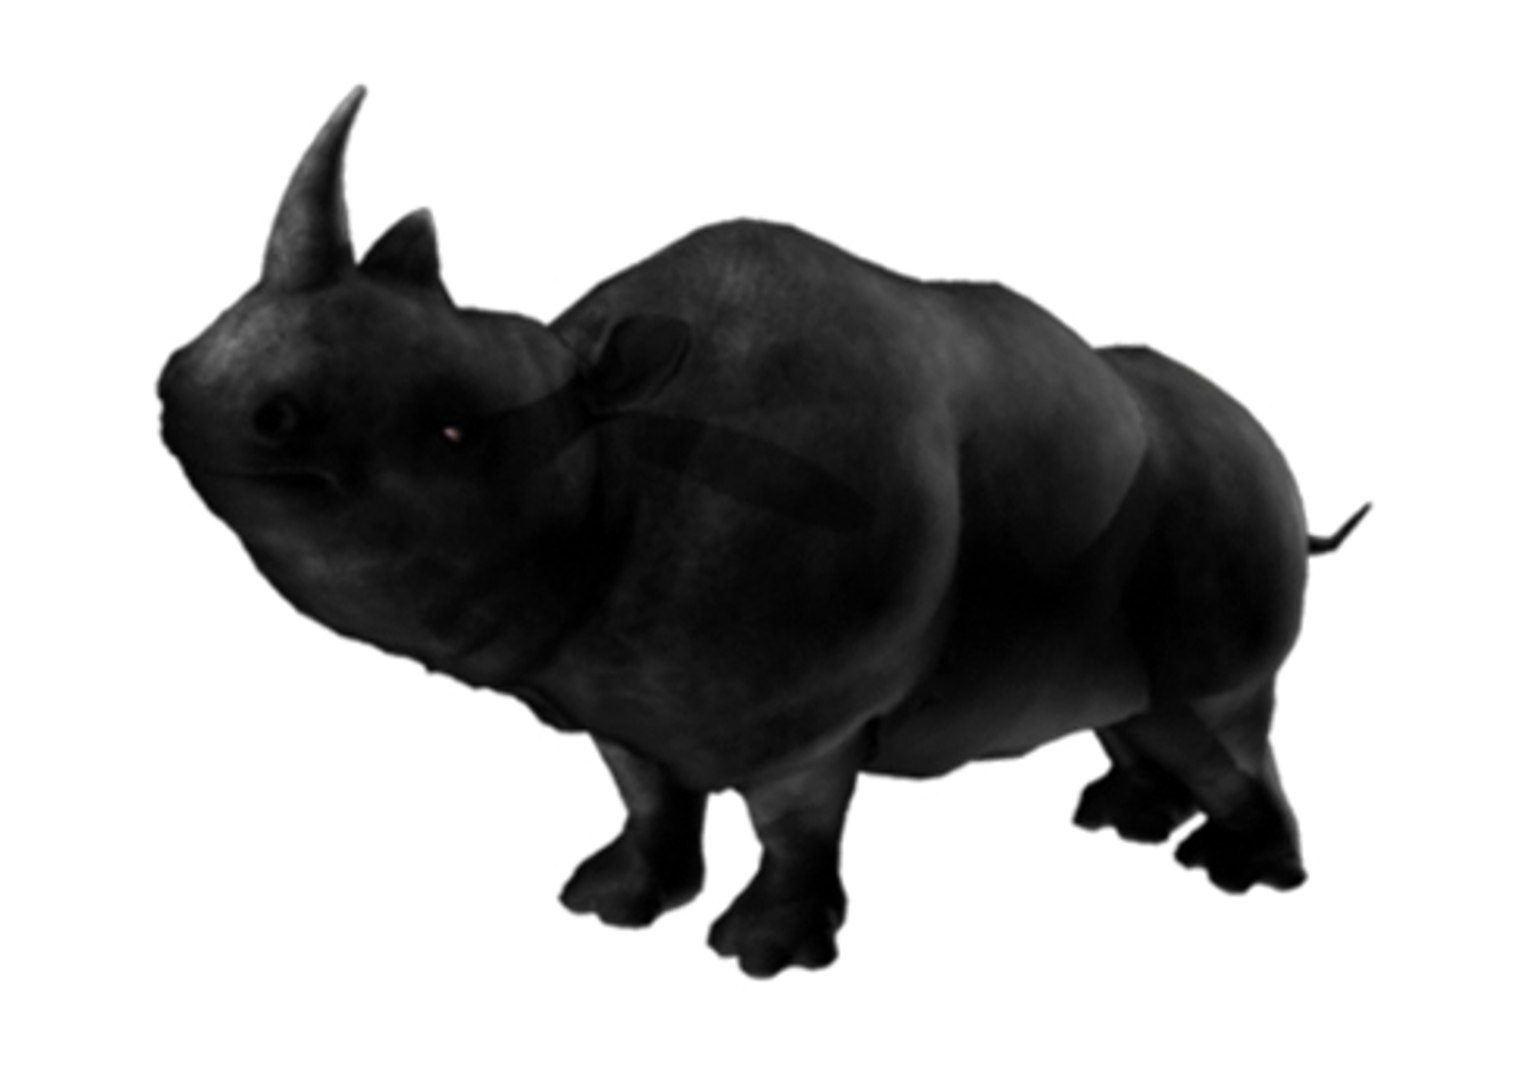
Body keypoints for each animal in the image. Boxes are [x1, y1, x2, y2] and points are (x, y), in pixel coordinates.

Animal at [158, 87, 1369, 977]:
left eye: (455, 433)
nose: (205, 392)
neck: (612, 461)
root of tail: (1277, 457)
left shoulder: (809, 709)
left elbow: (793, 825)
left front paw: (764, 953)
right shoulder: (615, 689)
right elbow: (646, 795)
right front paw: (608, 902)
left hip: (1226, 502)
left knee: (1212, 712)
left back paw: (1238, 875)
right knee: (1137, 707)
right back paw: (1121, 817)